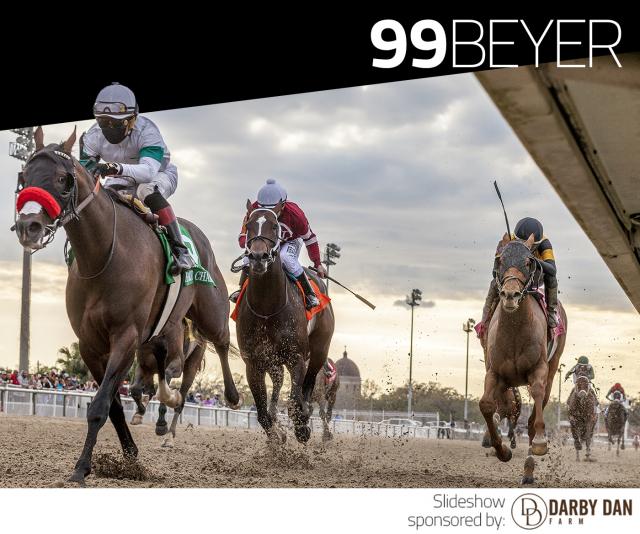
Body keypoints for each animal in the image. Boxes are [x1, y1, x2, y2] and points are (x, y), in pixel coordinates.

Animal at [15, 130, 240, 486]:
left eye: (63, 179)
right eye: (24, 177)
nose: (30, 226)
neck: (103, 256)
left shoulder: (126, 335)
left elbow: (100, 405)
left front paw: (81, 467)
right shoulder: (91, 345)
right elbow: (112, 404)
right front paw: (128, 455)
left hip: (209, 310)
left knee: (219, 341)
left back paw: (232, 397)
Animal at [235, 201, 336, 444]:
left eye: (274, 225)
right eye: (249, 225)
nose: (258, 257)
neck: (267, 307)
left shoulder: (296, 356)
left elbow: (294, 402)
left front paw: (301, 428)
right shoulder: (253, 362)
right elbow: (262, 413)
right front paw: (277, 437)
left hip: (319, 350)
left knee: (309, 386)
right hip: (274, 363)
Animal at [480, 236, 564, 486]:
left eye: (528, 262)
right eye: (499, 260)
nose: (510, 295)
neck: (515, 331)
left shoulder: (539, 369)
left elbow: (535, 400)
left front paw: (539, 443)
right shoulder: (494, 372)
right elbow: (486, 405)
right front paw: (502, 450)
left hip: (553, 368)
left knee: (535, 411)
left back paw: (529, 469)